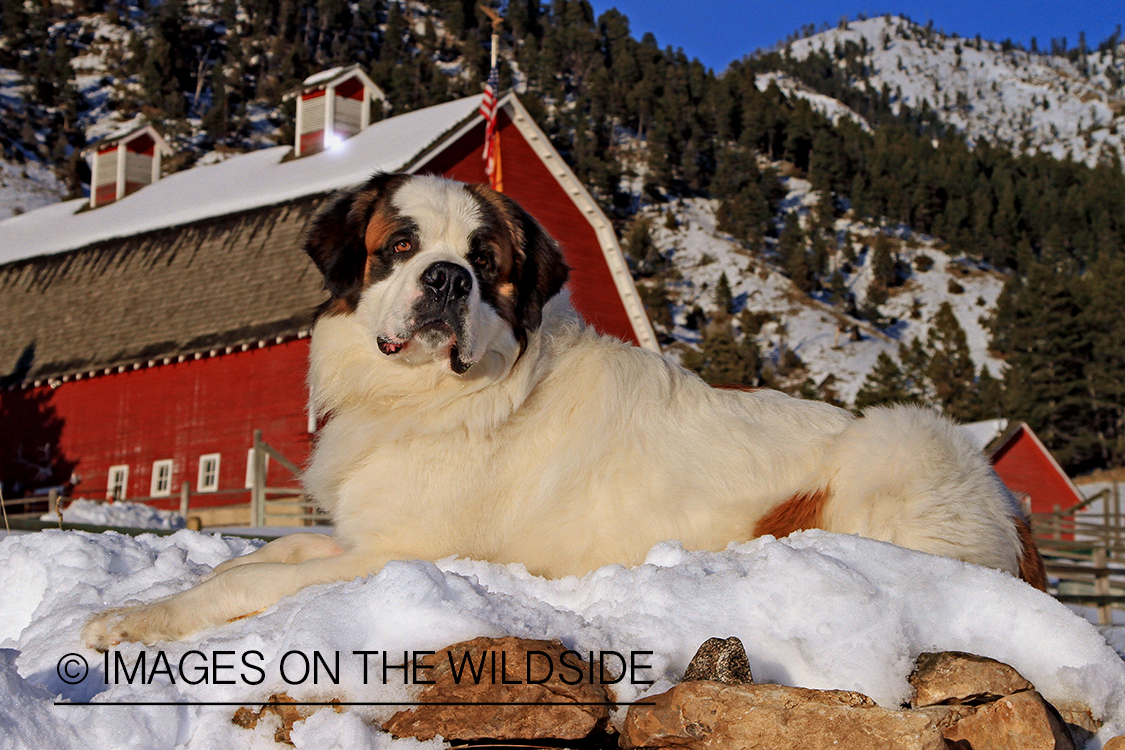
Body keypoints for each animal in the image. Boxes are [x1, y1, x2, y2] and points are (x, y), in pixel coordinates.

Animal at [83, 172, 1048, 652]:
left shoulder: (399, 552)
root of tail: (1008, 503)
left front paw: (131, 626)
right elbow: (261, 553)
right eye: (401, 245)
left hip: (894, 440)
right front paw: (153, 601)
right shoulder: (355, 535)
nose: (447, 278)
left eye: (486, 261)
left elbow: (247, 580)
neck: (435, 393)